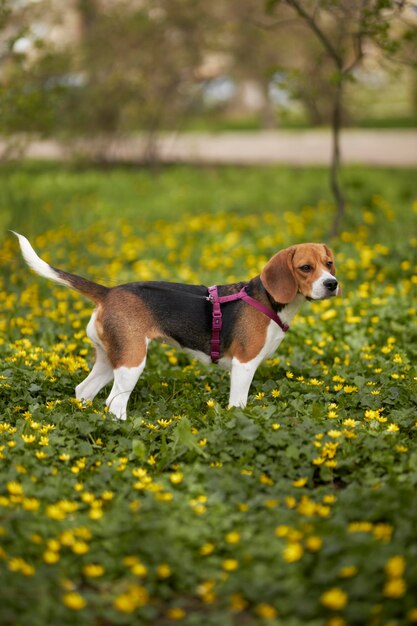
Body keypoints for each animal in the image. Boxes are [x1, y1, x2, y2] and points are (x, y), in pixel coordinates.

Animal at [13, 232, 338, 416]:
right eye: (305, 268)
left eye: (329, 263)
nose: (332, 284)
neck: (269, 300)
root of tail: (108, 292)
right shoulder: (244, 365)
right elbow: (238, 404)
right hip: (132, 361)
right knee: (114, 404)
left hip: (111, 358)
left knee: (84, 391)